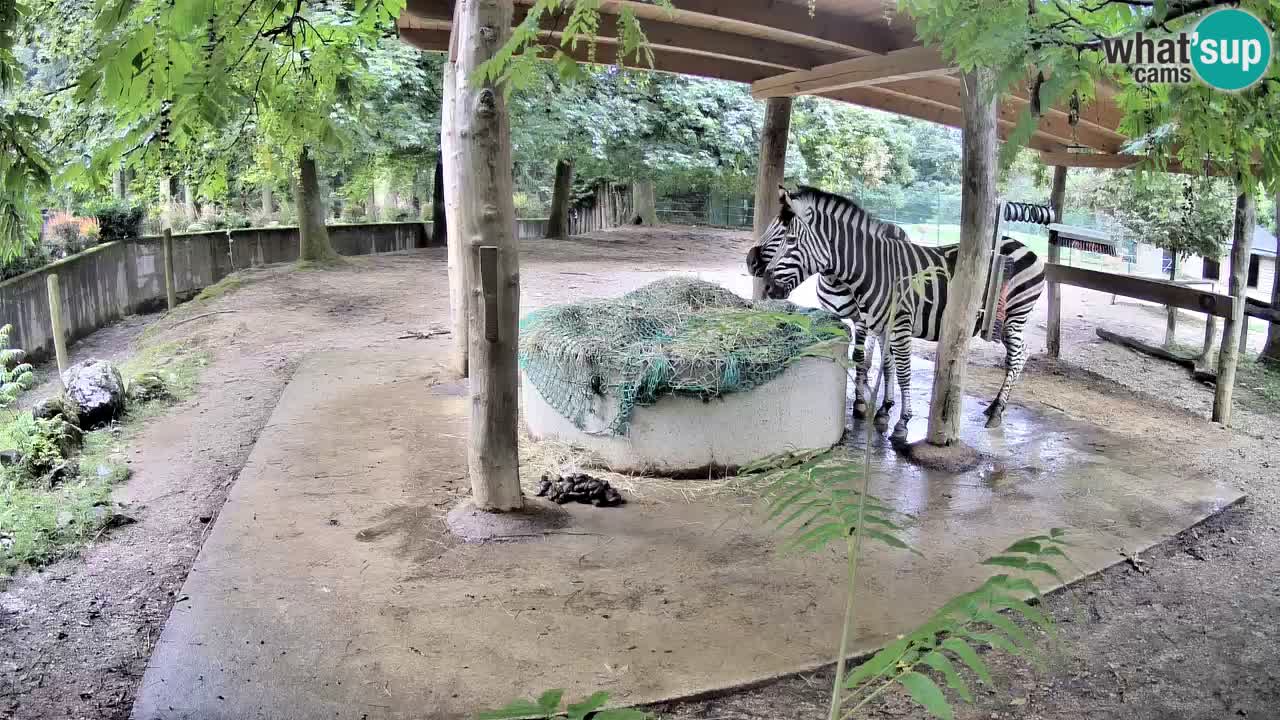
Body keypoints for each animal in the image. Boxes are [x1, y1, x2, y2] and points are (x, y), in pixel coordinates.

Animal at [750, 185, 1045, 440]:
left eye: (788, 238)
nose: (766, 283)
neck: (873, 269)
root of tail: (1029, 249)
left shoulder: (899, 324)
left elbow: (902, 371)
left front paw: (901, 423)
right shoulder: (881, 325)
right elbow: (886, 364)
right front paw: (882, 411)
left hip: (1015, 315)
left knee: (1017, 357)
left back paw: (997, 412)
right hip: (1003, 322)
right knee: (1022, 353)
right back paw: (995, 406)